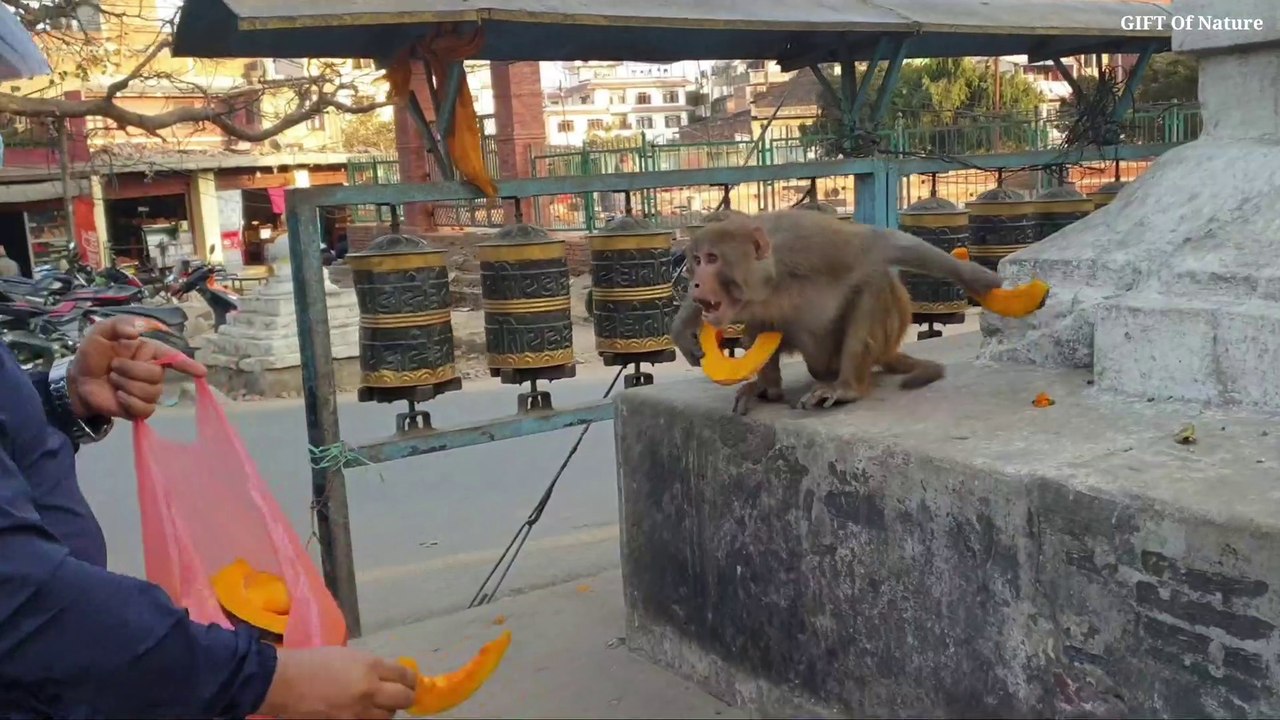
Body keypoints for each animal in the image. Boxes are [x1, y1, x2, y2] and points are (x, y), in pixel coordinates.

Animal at [670, 208, 1004, 415]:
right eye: (696, 260)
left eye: (712, 259)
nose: (696, 281)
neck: (772, 278)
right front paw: (683, 328)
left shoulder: (811, 245)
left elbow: (878, 243)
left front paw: (975, 277)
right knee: (762, 321)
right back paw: (768, 390)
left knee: (872, 280)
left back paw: (847, 388)